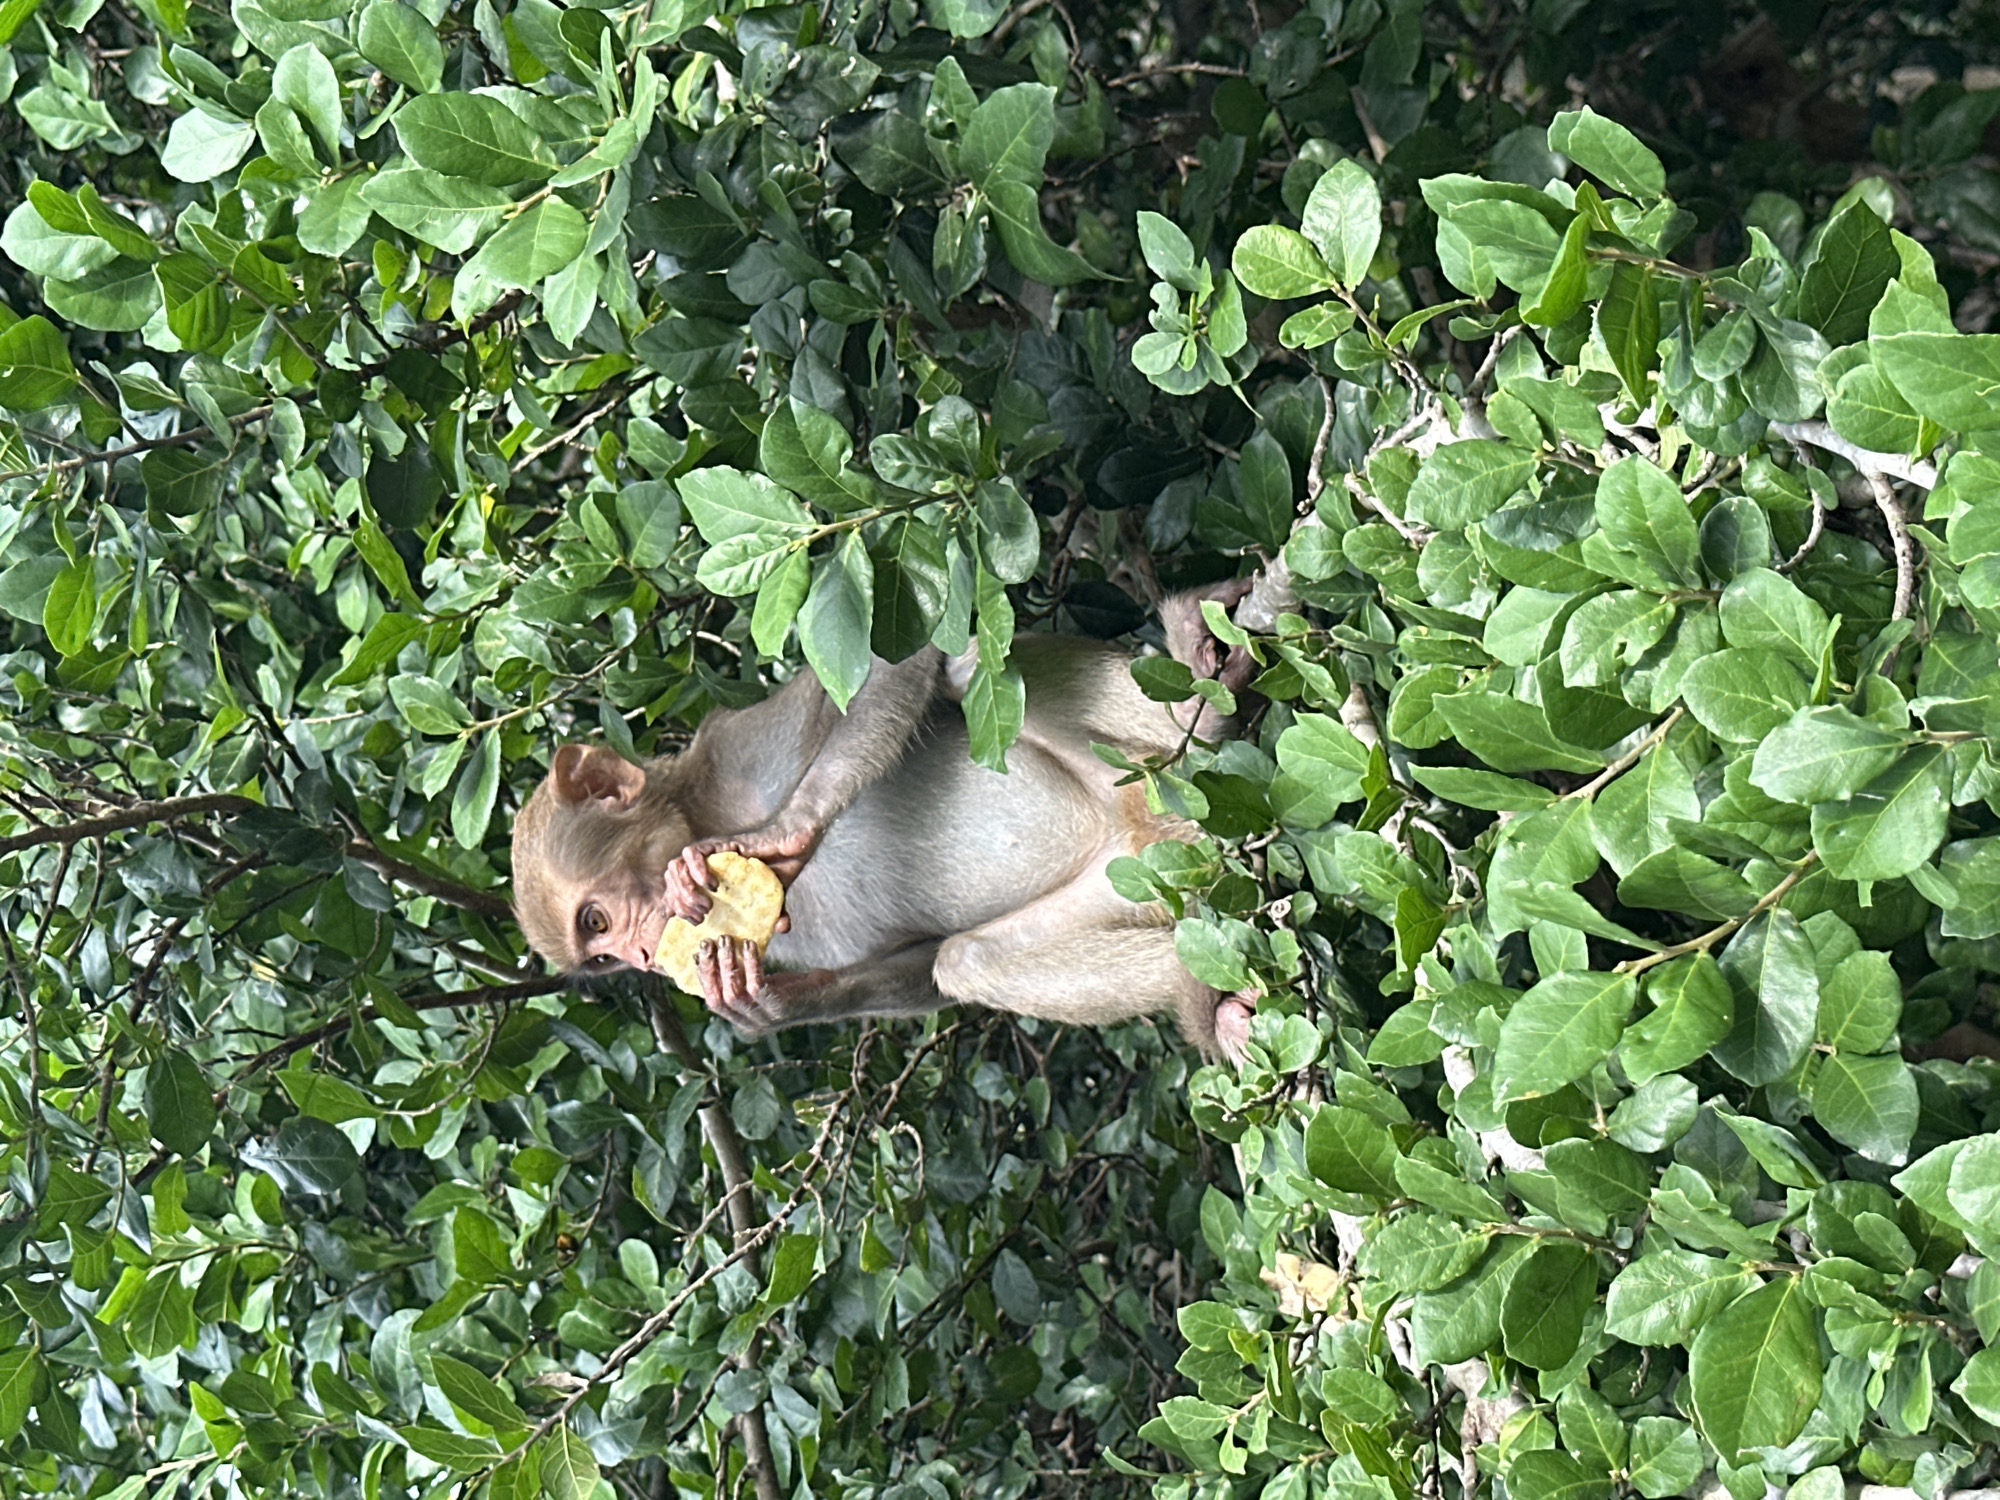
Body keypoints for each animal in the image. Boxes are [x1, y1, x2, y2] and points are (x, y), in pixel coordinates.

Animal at [509, 584, 1263, 1061]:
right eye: (600, 957)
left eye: (595, 922)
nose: (640, 959)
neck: (702, 806)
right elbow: (923, 964)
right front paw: (770, 1008)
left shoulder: (741, 749)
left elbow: (882, 662)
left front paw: (784, 836)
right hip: (1138, 878)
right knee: (970, 960)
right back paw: (1208, 1004)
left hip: (1144, 774)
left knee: (964, 665)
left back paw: (1201, 703)